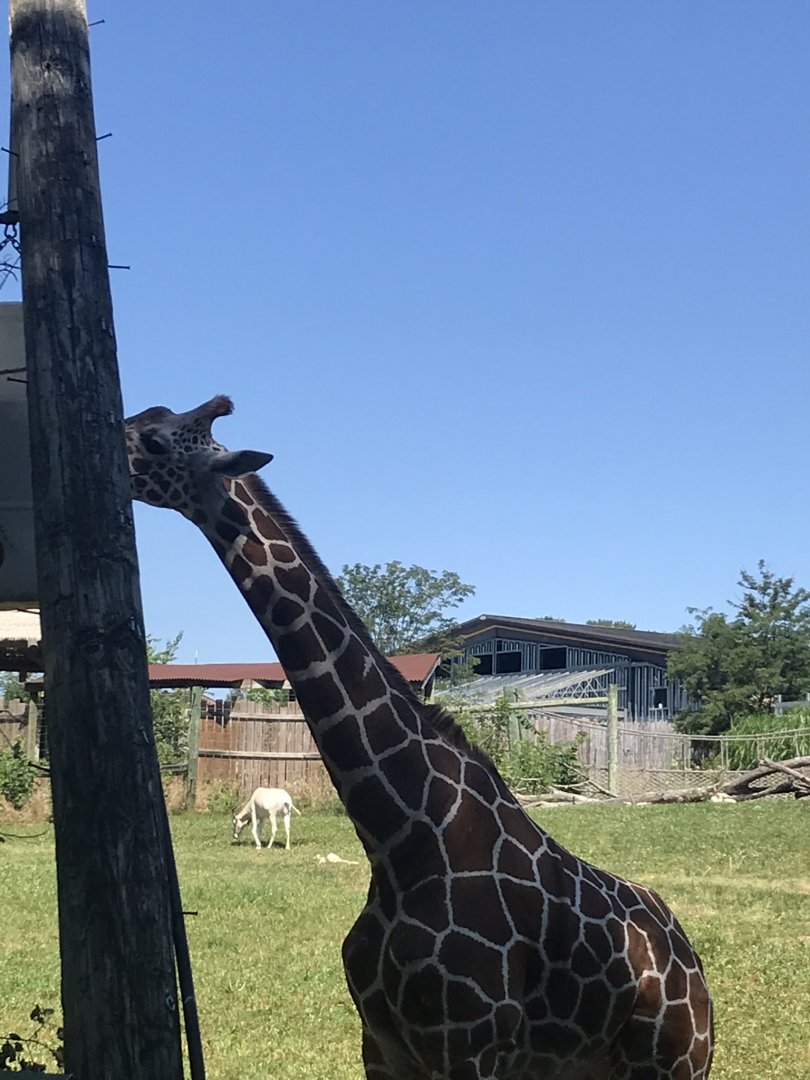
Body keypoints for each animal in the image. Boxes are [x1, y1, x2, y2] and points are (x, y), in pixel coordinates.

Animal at [126, 395, 713, 1080]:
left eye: (158, 441)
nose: (109, 449)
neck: (401, 840)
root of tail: (694, 966)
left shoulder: (468, 1046)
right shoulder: (381, 1044)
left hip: (675, 1062)